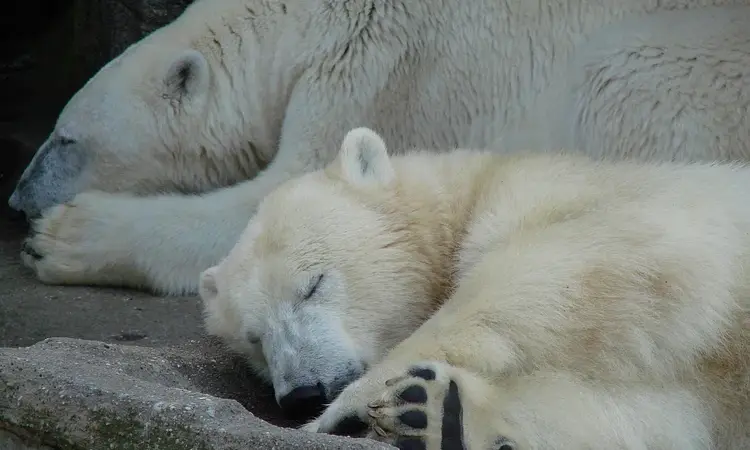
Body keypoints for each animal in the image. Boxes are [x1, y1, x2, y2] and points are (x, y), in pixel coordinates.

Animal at [10, 0, 750, 296]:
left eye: (66, 139)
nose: (17, 200)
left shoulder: (385, 65)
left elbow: (296, 195)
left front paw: (65, 239)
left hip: (683, 68)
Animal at [200, 127, 750, 450]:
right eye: (254, 338)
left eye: (313, 284)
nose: (302, 393)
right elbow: (658, 417)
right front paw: (437, 411)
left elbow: (591, 251)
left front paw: (339, 413)